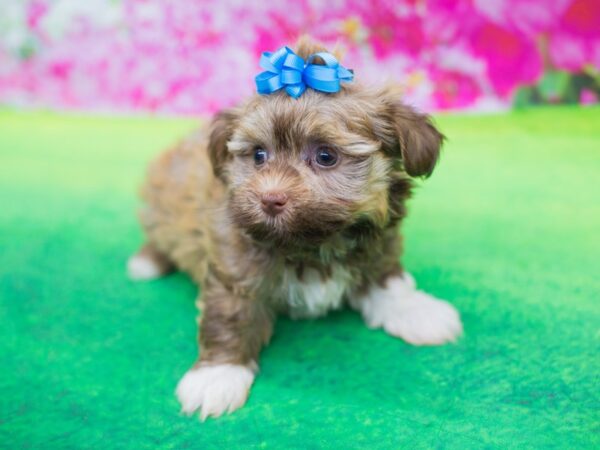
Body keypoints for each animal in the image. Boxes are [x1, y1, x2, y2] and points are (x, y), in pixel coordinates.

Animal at [127, 37, 464, 420]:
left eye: (326, 156)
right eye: (258, 156)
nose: (270, 199)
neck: (312, 243)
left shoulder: (377, 245)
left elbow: (387, 279)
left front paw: (416, 311)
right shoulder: (235, 264)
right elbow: (230, 313)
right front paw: (217, 375)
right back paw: (148, 261)